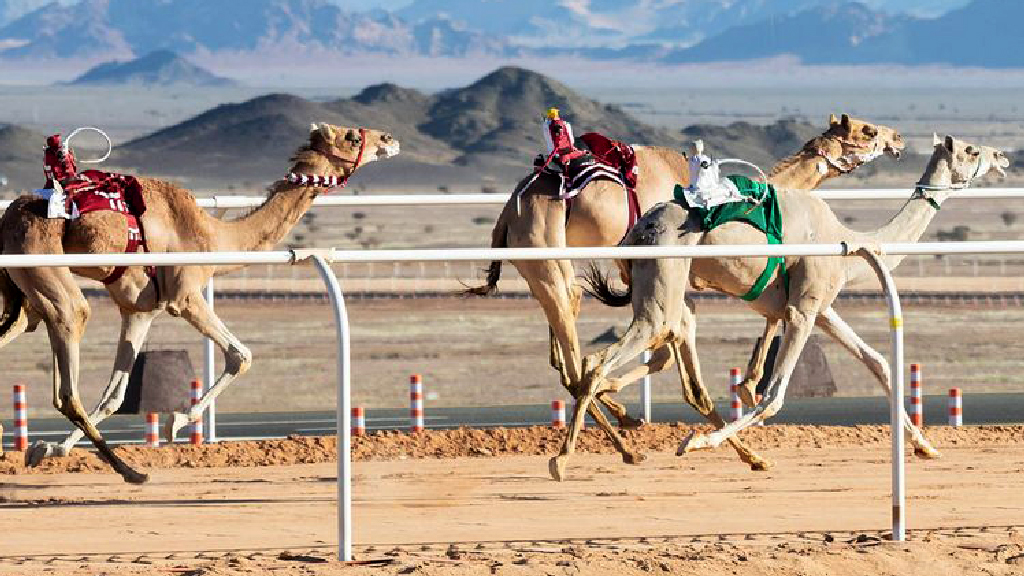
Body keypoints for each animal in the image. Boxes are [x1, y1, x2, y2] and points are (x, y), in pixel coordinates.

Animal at [0, 120, 399, 479]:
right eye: (352, 136)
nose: (390, 139)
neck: (216, 236)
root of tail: (9, 217)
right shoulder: (186, 295)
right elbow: (241, 356)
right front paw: (175, 422)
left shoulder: (140, 308)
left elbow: (115, 394)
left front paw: (47, 448)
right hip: (44, 263)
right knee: (71, 337)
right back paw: (130, 471)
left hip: (26, 293)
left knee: (25, 326)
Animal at [468, 112, 901, 467]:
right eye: (867, 130)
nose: (897, 138)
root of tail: (508, 210)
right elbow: (670, 356)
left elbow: (672, 361)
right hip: (550, 256)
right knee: (577, 363)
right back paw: (614, 444)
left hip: (541, 274)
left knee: (566, 359)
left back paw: (623, 430)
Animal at [552, 134, 1007, 479]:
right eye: (971, 150)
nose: (1001, 156)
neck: (847, 242)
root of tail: (638, 230)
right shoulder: (801, 310)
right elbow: (773, 395)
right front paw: (695, 442)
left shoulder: (822, 308)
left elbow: (878, 363)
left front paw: (927, 447)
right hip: (663, 282)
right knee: (605, 359)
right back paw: (566, 458)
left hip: (664, 290)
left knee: (620, 363)